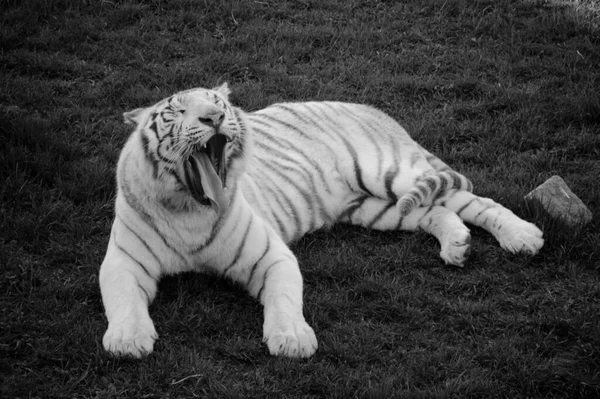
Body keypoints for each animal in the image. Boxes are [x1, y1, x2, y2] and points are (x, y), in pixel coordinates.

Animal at [99, 83, 544, 360]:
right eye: (176, 111)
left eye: (217, 104)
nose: (213, 118)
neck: (190, 208)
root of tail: (370, 108)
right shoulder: (122, 261)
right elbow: (121, 299)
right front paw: (128, 339)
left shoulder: (269, 255)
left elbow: (284, 299)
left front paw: (292, 339)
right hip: (376, 208)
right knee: (436, 211)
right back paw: (457, 246)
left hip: (390, 173)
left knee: (474, 199)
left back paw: (524, 236)